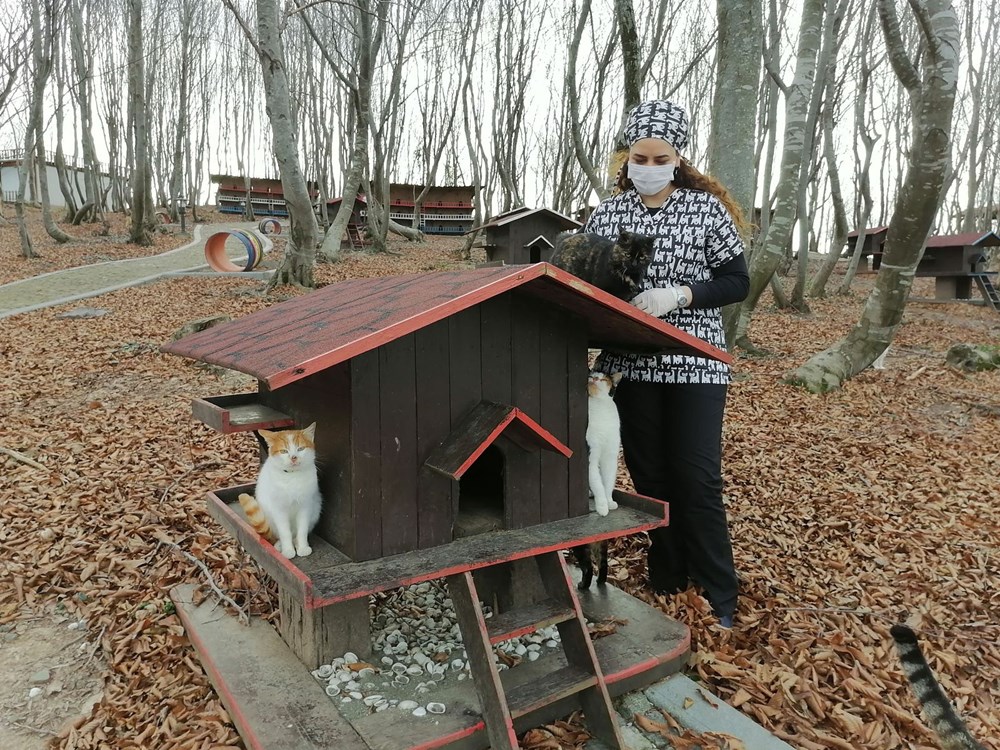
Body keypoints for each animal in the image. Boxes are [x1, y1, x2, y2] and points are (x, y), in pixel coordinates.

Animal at [237, 424, 320, 560]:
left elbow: (302, 530)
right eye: (284, 451)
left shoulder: (305, 506)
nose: (293, 457)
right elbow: (285, 532)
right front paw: (287, 550)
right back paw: (280, 545)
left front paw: (302, 547)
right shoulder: (279, 509)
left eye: (300, 449)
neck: (292, 477)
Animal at [584, 372, 620, 516]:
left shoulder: (610, 457)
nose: (594, 378)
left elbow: (608, 482)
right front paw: (603, 506)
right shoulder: (590, 457)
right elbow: (598, 484)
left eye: (603, 379)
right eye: (590, 375)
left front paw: (609, 501)